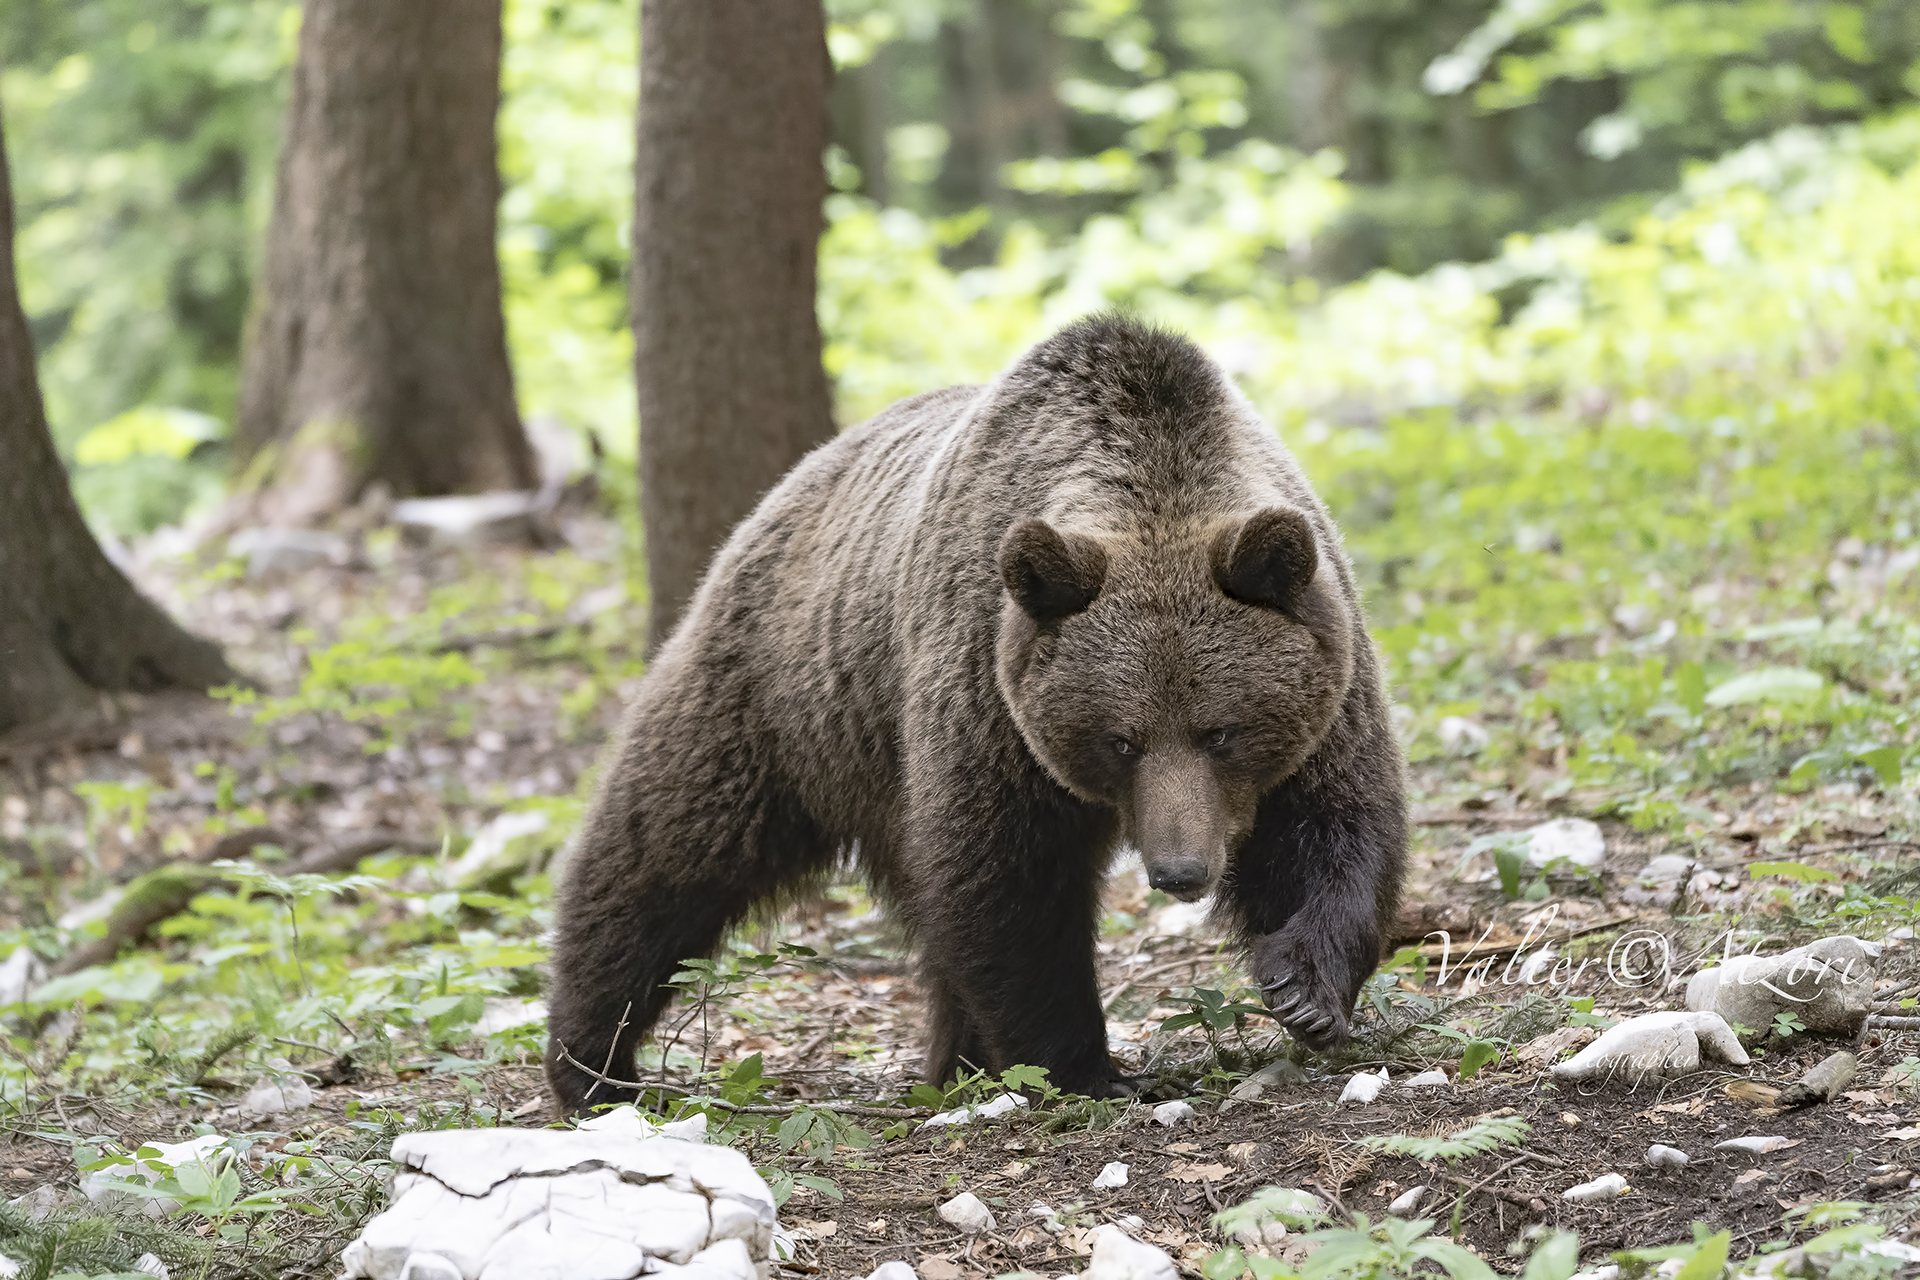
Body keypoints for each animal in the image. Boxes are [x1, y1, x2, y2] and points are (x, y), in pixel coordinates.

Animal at [544, 315, 1406, 1113]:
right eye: (1121, 739)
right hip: (783, 700)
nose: (1180, 870)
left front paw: (1302, 988)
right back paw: (592, 1063)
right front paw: (1082, 1067)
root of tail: (791, 485)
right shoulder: (989, 695)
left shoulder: (1326, 689)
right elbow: (1006, 882)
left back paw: (954, 1061)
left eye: (1220, 731)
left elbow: (1335, 828)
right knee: (663, 856)